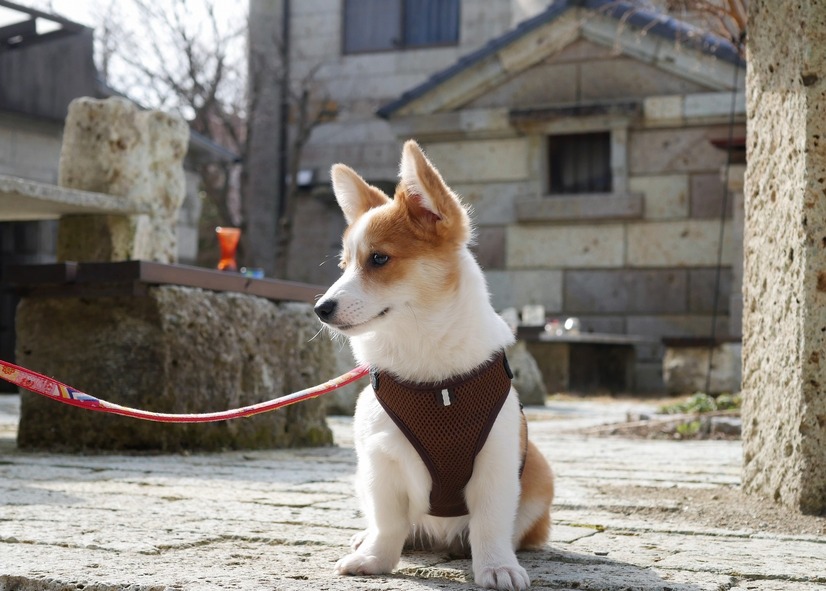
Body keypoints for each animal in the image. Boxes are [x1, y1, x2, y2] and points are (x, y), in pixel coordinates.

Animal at [316, 141, 552, 588]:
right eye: (343, 266)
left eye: (378, 259)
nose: (321, 308)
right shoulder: (380, 462)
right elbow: (388, 521)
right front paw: (374, 558)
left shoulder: (496, 461)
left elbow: (490, 523)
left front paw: (496, 567)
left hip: (540, 472)